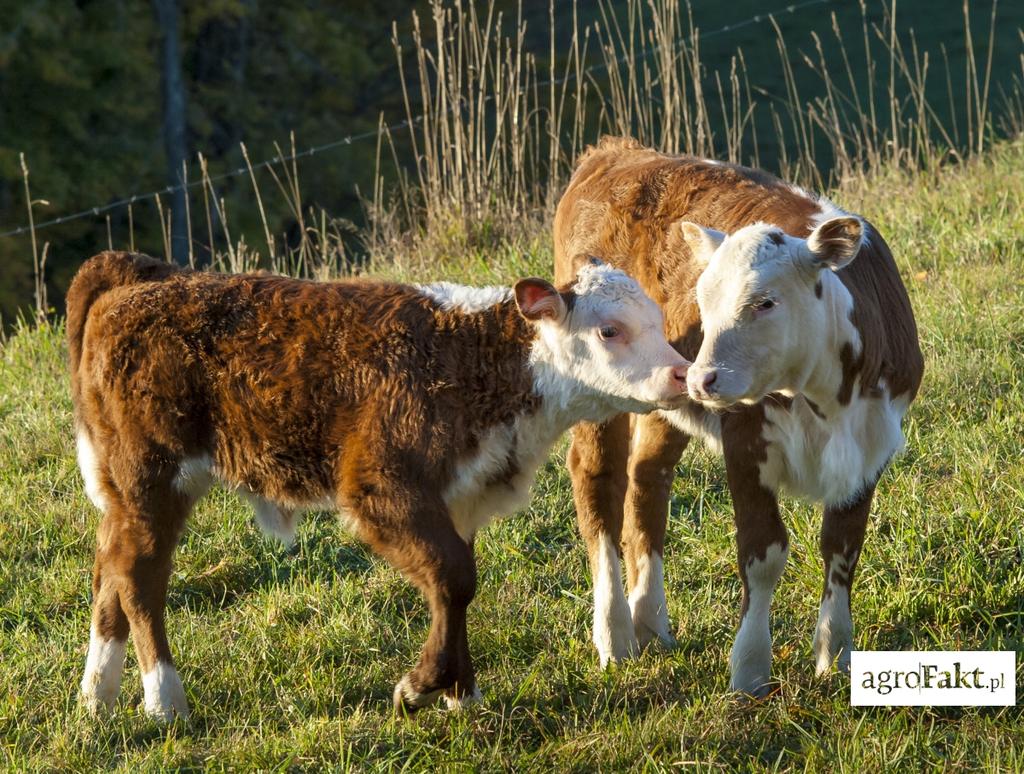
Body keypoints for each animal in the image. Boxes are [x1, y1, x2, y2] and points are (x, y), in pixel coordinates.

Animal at [557, 136, 925, 700]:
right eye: (702, 299)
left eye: (765, 302)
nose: (701, 378)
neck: (824, 398)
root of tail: (614, 152)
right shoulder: (745, 440)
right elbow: (764, 550)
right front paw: (750, 668)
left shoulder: (870, 445)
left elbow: (843, 547)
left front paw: (836, 656)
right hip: (596, 383)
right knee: (597, 481)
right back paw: (615, 634)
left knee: (648, 478)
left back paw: (650, 619)